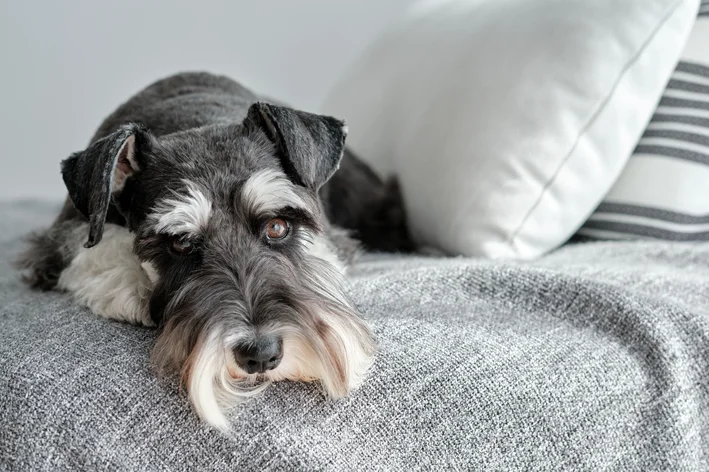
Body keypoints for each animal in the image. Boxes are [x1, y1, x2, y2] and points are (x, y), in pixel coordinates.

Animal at [16, 72, 412, 430]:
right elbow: (98, 250)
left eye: (277, 227)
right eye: (180, 242)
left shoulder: (333, 241)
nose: (260, 355)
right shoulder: (62, 238)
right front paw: (132, 289)